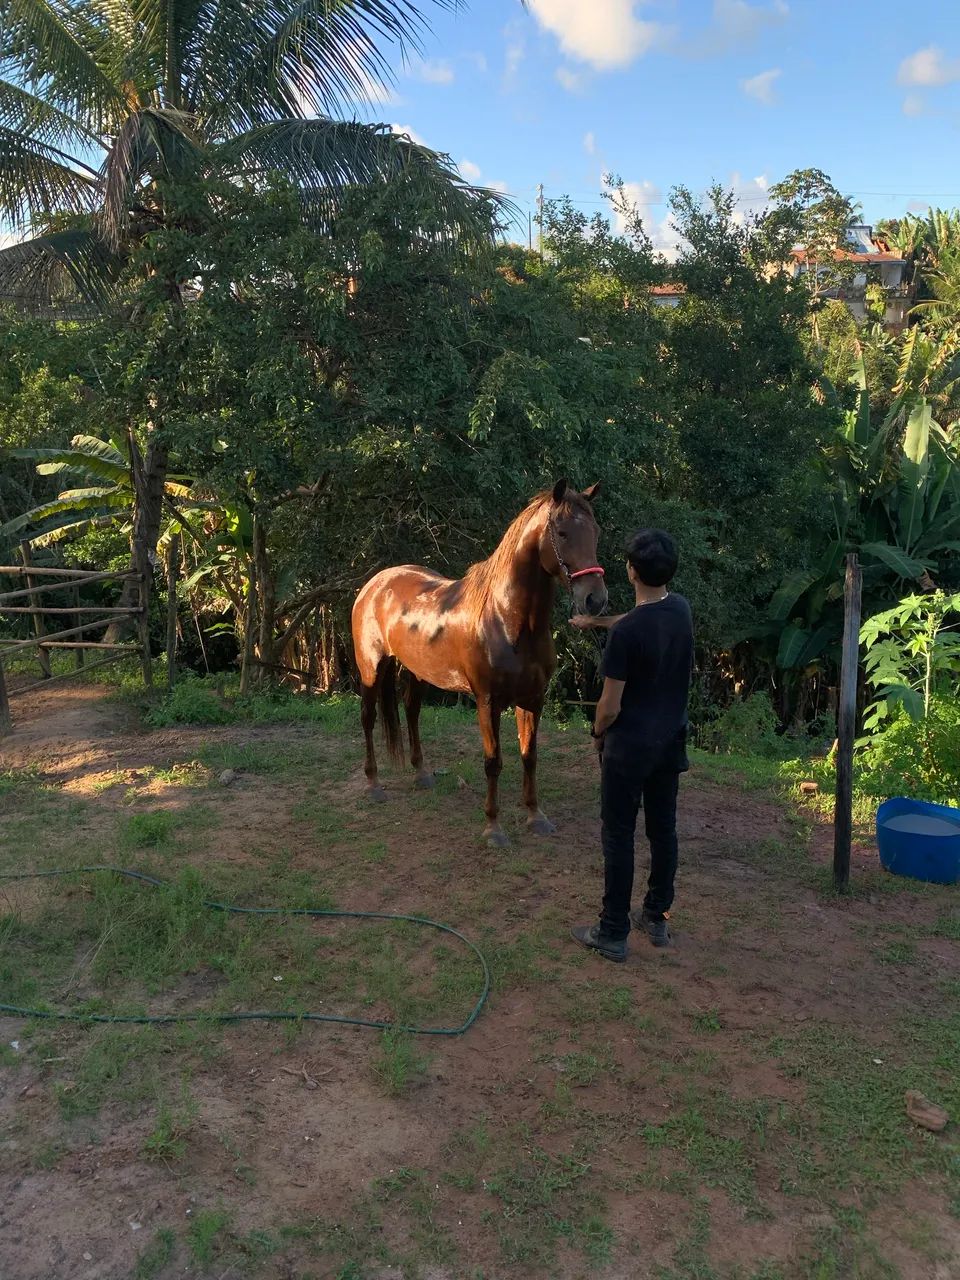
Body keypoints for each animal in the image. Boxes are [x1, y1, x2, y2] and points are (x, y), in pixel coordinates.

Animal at [351, 479, 608, 846]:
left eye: (595, 531)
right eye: (561, 532)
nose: (595, 599)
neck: (506, 620)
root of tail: (375, 584)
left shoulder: (532, 699)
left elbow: (529, 756)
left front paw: (535, 817)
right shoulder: (487, 702)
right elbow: (493, 762)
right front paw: (494, 828)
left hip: (416, 671)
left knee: (411, 711)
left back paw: (422, 774)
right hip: (371, 667)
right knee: (368, 717)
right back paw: (373, 785)